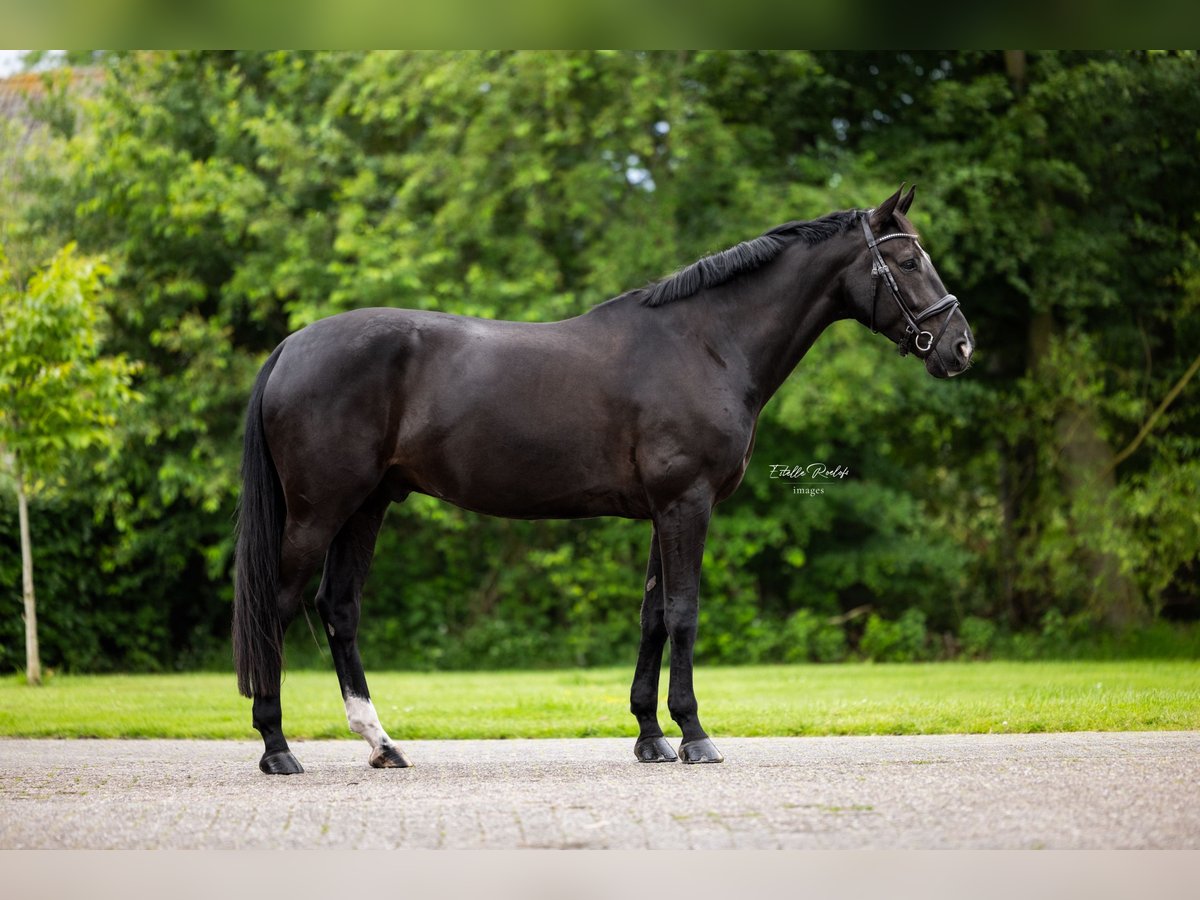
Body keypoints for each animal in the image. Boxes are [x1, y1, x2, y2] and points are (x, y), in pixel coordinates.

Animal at [234, 184, 974, 777]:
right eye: (908, 261)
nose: (961, 347)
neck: (705, 343)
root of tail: (291, 346)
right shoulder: (687, 504)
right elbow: (684, 613)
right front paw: (695, 735)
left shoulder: (662, 511)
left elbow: (652, 616)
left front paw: (650, 736)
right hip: (320, 510)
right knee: (277, 605)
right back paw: (277, 747)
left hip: (368, 505)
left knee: (339, 608)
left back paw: (381, 743)